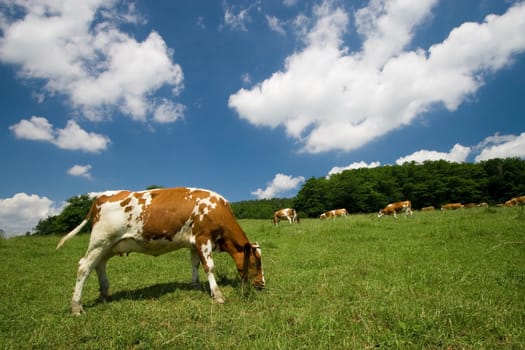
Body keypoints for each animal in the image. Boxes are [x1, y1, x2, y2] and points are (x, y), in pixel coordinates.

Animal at [56, 187, 266, 316]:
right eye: (256, 262)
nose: (262, 284)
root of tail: (102, 196)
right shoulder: (203, 237)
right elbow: (209, 267)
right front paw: (218, 295)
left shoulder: (193, 242)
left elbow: (195, 264)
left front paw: (196, 284)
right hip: (100, 241)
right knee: (84, 267)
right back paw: (76, 306)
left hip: (109, 245)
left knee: (99, 264)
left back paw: (105, 293)